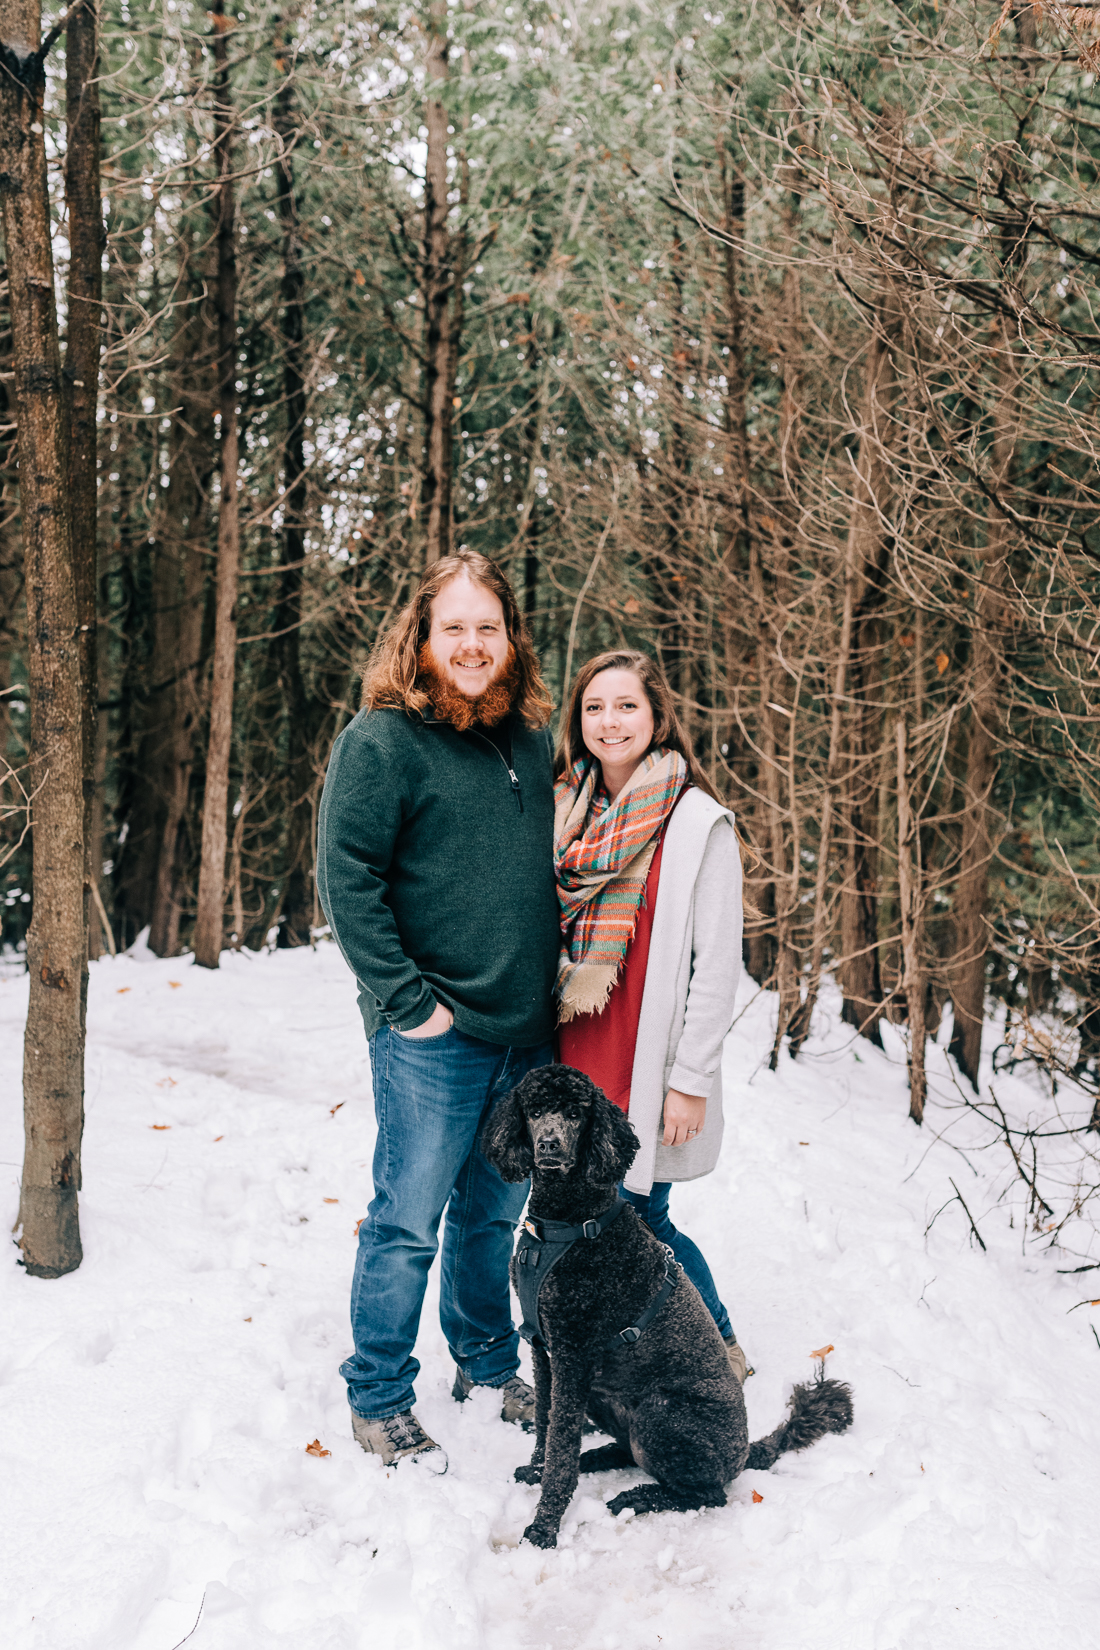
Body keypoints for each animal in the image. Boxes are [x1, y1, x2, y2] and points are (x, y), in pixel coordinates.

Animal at [484, 1062, 857, 1551]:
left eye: (576, 1113)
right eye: (533, 1111)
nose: (548, 1145)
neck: (567, 1223)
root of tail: (745, 1450)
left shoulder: (572, 1354)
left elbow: (561, 1445)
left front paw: (544, 1527)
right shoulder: (545, 1351)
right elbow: (548, 1426)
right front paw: (537, 1471)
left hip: (659, 1412)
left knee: (709, 1492)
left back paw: (637, 1496)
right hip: (605, 1397)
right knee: (630, 1452)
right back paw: (597, 1460)